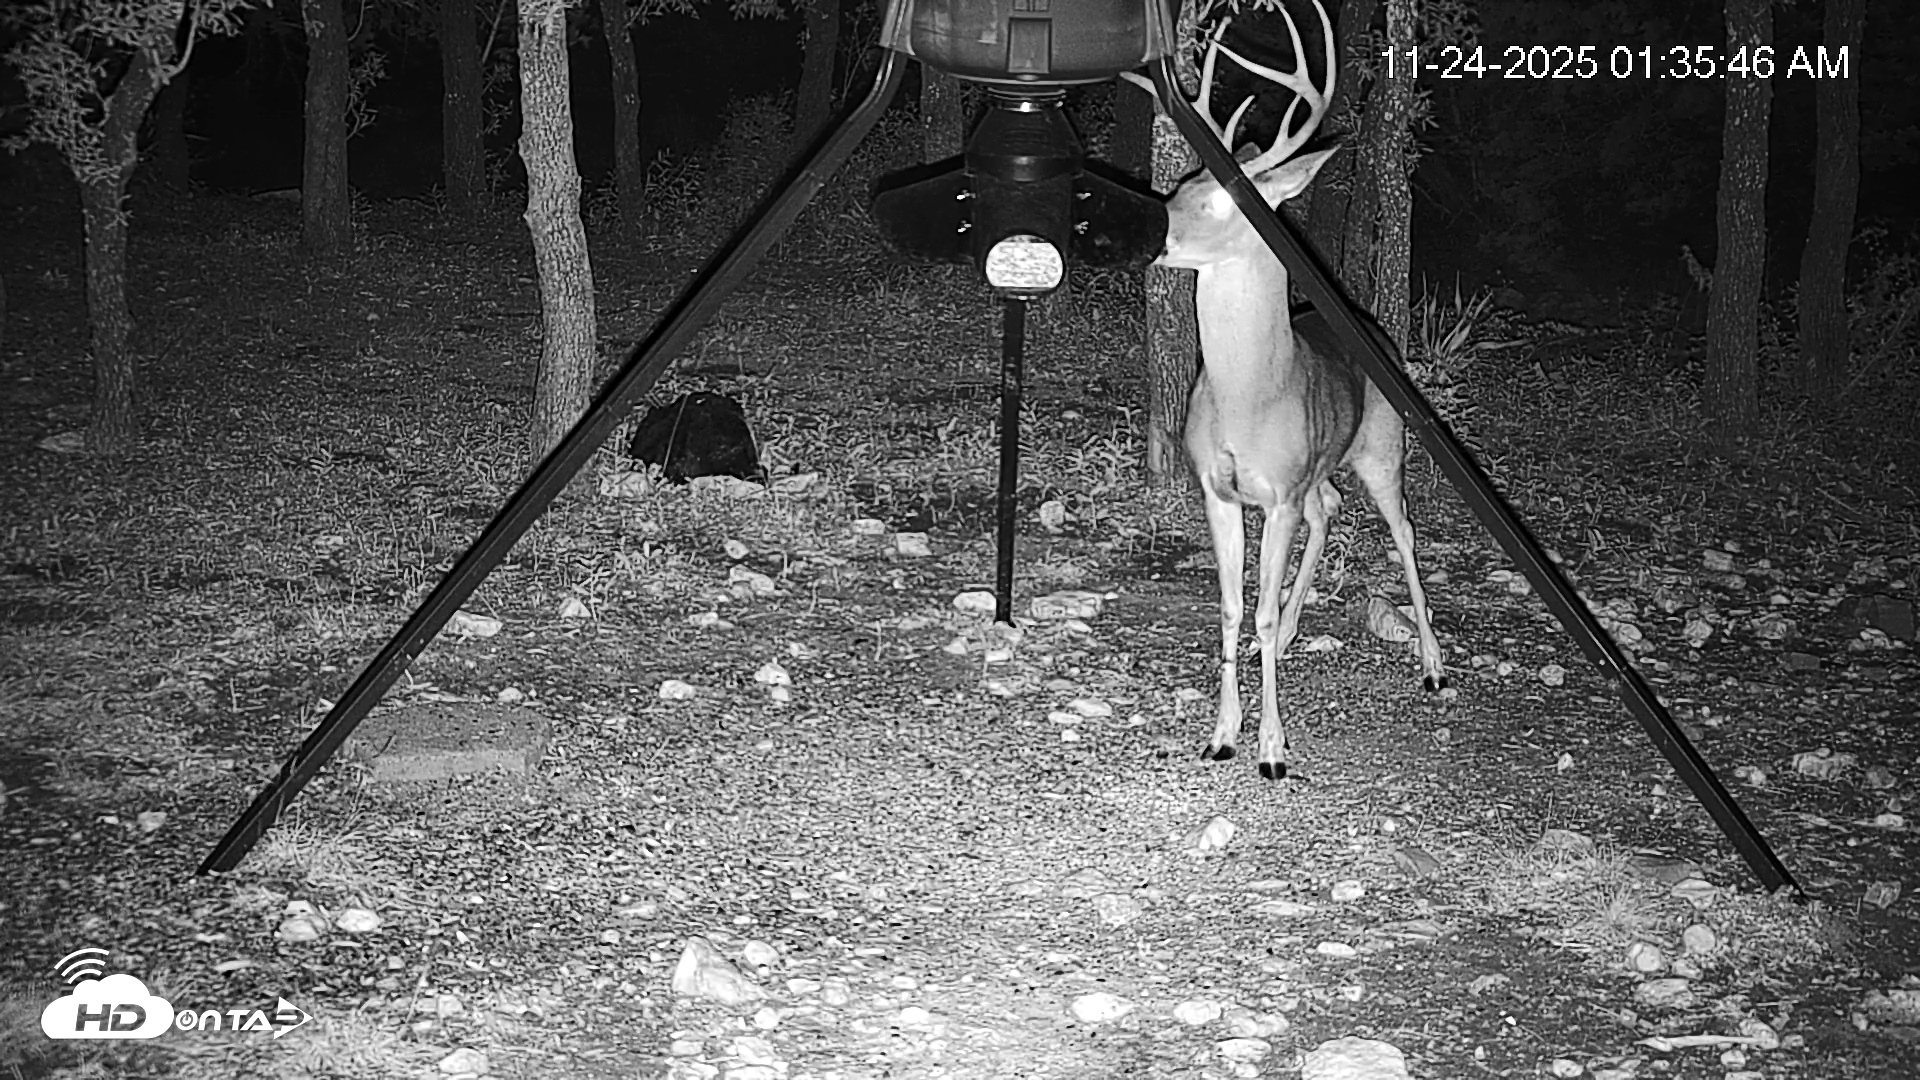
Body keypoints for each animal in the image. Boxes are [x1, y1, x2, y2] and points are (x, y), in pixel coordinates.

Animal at [1145, 2, 1447, 778]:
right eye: (1182, 183)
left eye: (1229, 201)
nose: (1154, 233)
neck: (1249, 396)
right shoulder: (1221, 489)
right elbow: (1231, 608)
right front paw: (1223, 734)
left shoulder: (1276, 493)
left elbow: (1258, 605)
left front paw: (1274, 751)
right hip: (1319, 470)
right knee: (1330, 509)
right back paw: (1280, 644)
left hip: (1383, 448)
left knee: (1404, 531)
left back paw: (1433, 666)